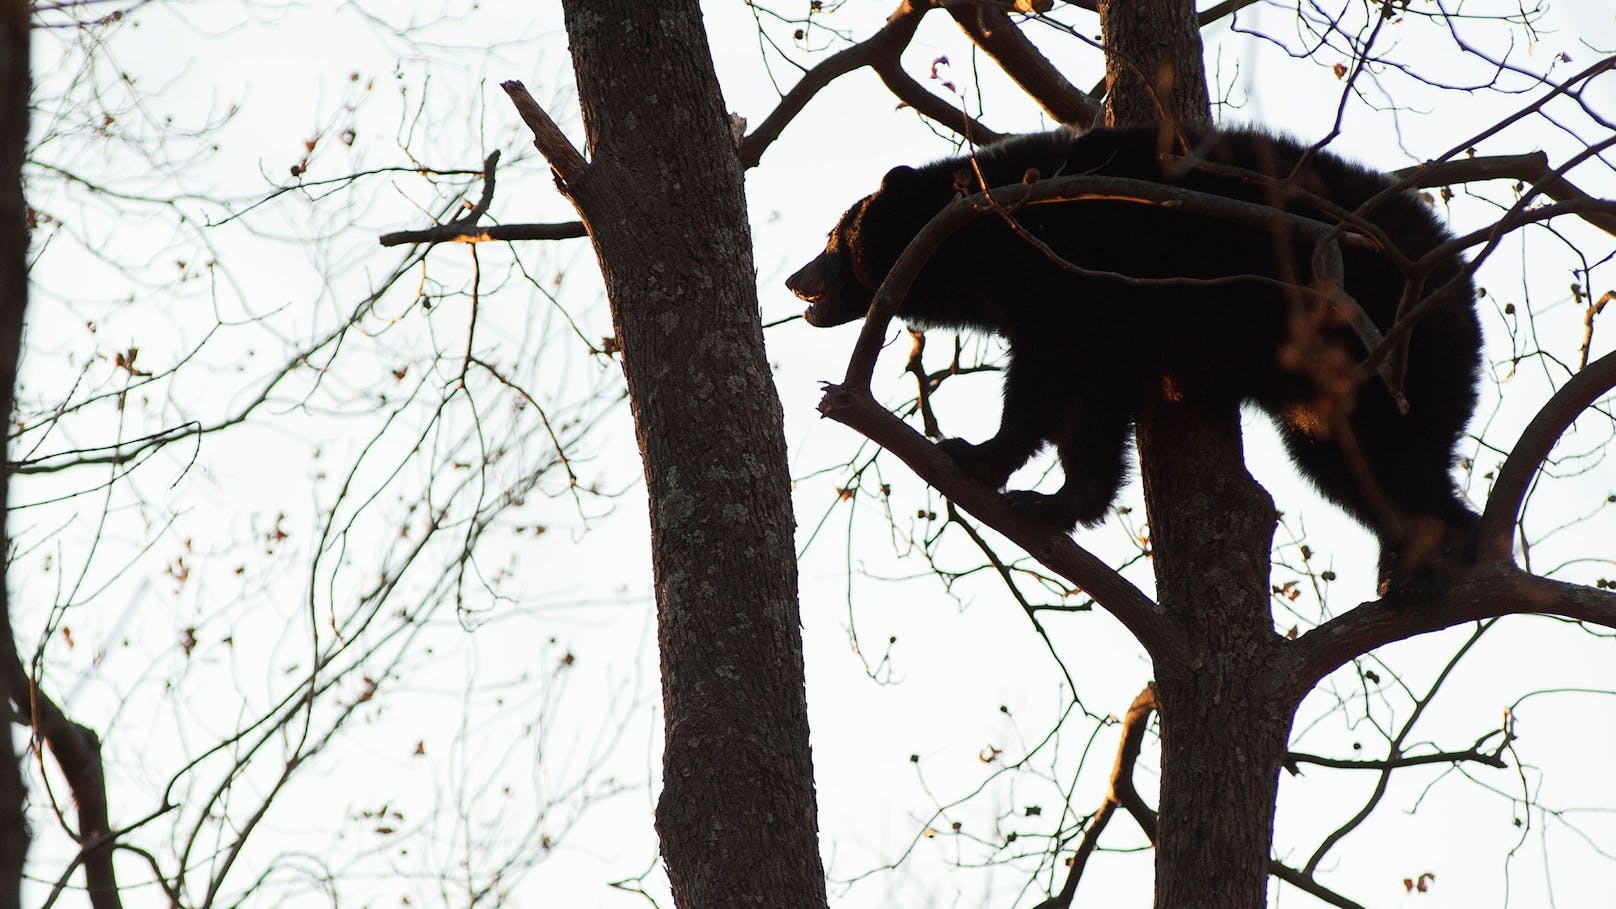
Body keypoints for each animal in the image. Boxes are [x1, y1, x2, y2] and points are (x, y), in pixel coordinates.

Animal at [788, 127, 1480, 595]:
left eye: (832, 237)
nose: (796, 280)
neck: (994, 234)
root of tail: (1457, 278)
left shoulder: (1080, 275)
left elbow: (1050, 376)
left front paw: (976, 453)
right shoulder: (1112, 318)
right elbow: (1097, 404)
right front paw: (1060, 500)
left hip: (1384, 343)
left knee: (1392, 457)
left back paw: (1427, 564)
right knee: (1349, 465)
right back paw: (1410, 558)